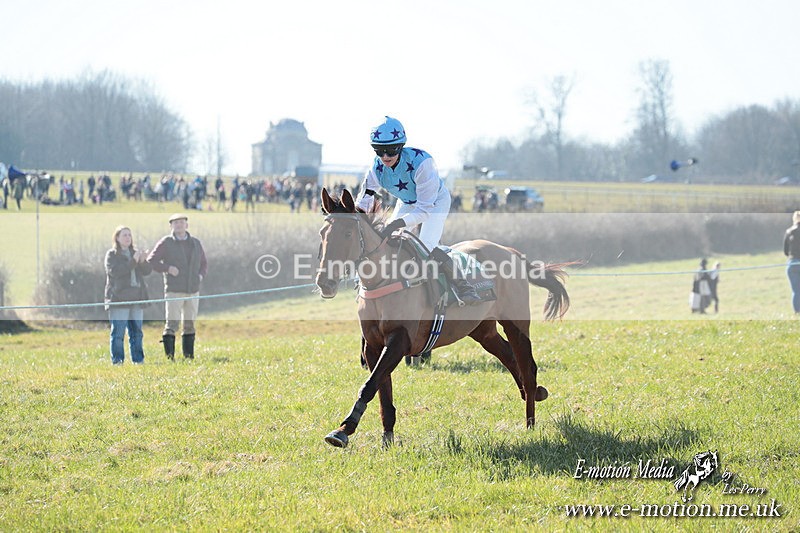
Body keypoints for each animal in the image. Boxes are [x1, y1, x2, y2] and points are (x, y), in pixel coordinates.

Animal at [316, 188, 569, 448]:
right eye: (322, 234)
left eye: (348, 233)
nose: (325, 282)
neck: (385, 279)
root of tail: (512, 252)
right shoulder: (374, 345)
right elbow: (382, 389)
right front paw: (387, 437)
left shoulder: (400, 340)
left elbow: (370, 385)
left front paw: (343, 429)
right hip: (482, 329)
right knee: (509, 356)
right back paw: (535, 394)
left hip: (515, 323)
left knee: (527, 367)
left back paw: (530, 424)